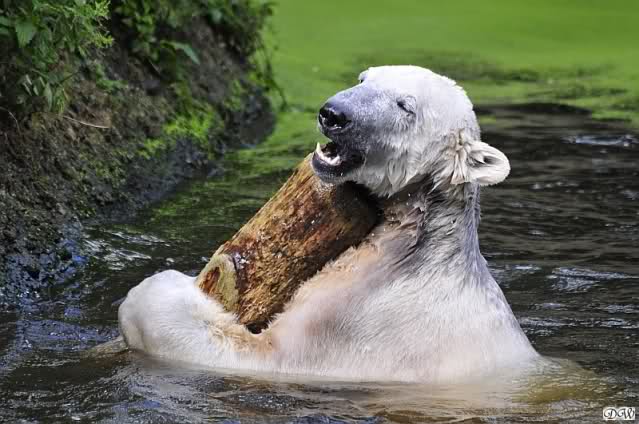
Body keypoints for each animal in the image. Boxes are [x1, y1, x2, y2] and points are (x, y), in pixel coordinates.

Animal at [118, 65, 539, 383]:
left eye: (405, 106)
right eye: (364, 77)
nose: (334, 114)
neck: (418, 247)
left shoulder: (363, 327)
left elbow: (262, 355)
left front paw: (161, 288)